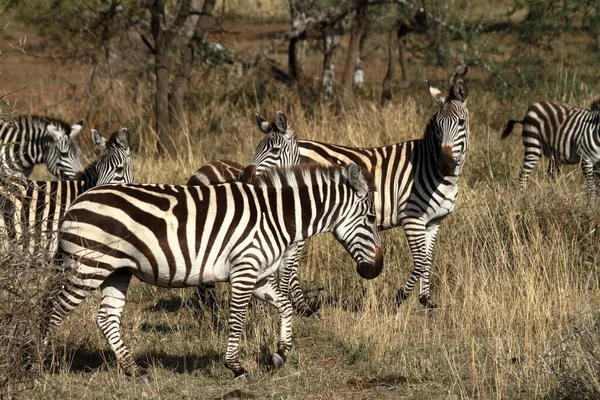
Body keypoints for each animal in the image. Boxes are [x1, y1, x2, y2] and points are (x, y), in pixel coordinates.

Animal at [39, 162, 382, 378]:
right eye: (370, 219)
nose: (376, 270)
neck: (276, 217)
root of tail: (76, 203)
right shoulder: (244, 270)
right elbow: (237, 319)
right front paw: (236, 367)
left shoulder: (258, 274)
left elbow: (285, 306)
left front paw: (279, 354)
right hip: (88, 267)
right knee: (52, 311)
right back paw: (39, 364)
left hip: (116, 271)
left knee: (106, 318)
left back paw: (133, 370)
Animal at [190, 79, 472, 310]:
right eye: (437, 127)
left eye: (460, 123)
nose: (446, 163)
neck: (431, 169)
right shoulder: (412, 218)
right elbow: (421, 261)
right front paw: (400, 297)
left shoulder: (434, 221)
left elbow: (428, 259)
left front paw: (426, 300)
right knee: (288, 266)